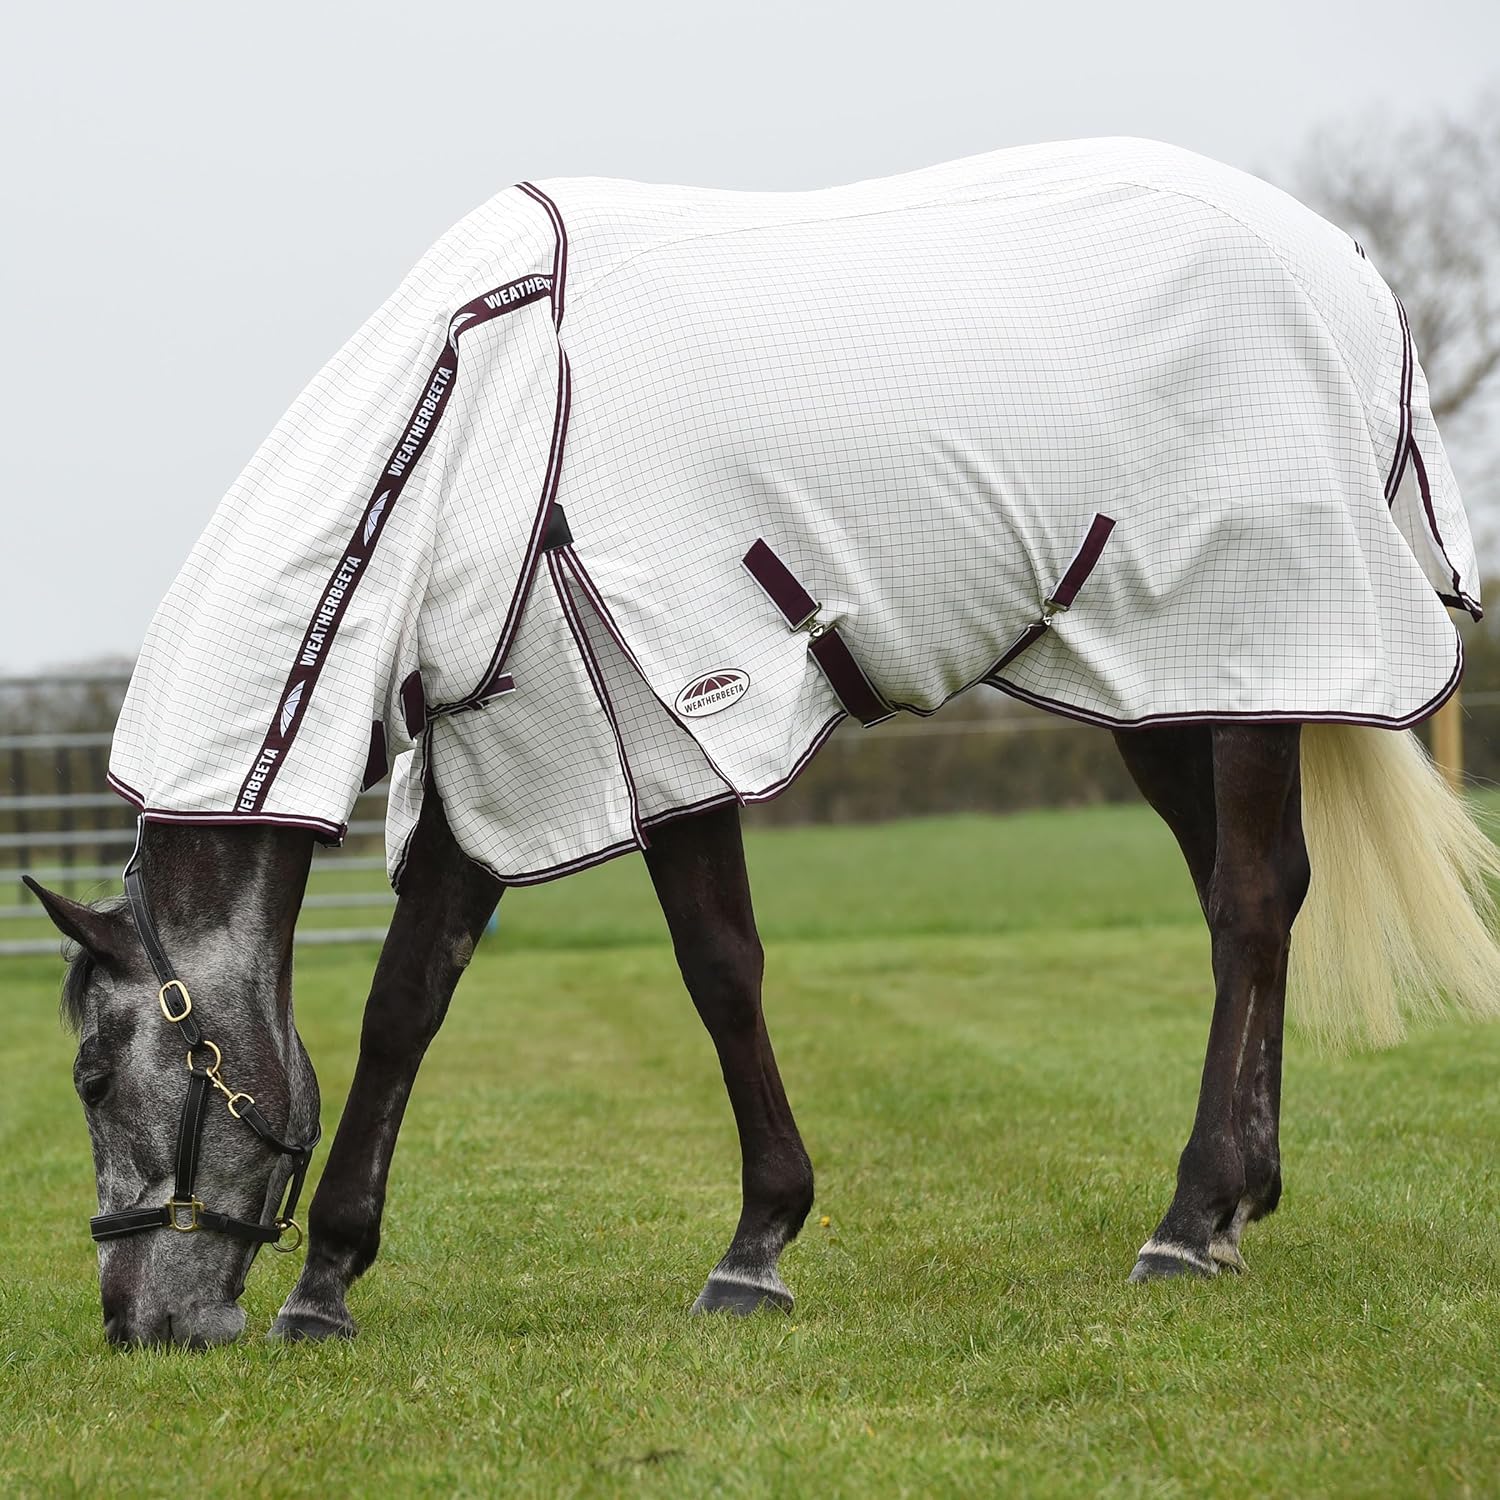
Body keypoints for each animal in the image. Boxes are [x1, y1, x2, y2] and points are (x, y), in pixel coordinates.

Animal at [27, 137, 1500, 1346]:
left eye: (96, 1075)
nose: (136, 1325)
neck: (480, 415)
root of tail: (1350, 272)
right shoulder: (510, 753)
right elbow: (405, 1005)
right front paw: (328, 1281)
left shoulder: (652, 728)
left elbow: (719, 972)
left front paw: (756, 1245)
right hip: (1166, 686)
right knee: (1251, 899)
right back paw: (1241, 1200)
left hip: (1258, 649)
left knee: (1248, 902)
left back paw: (1188, 1224)